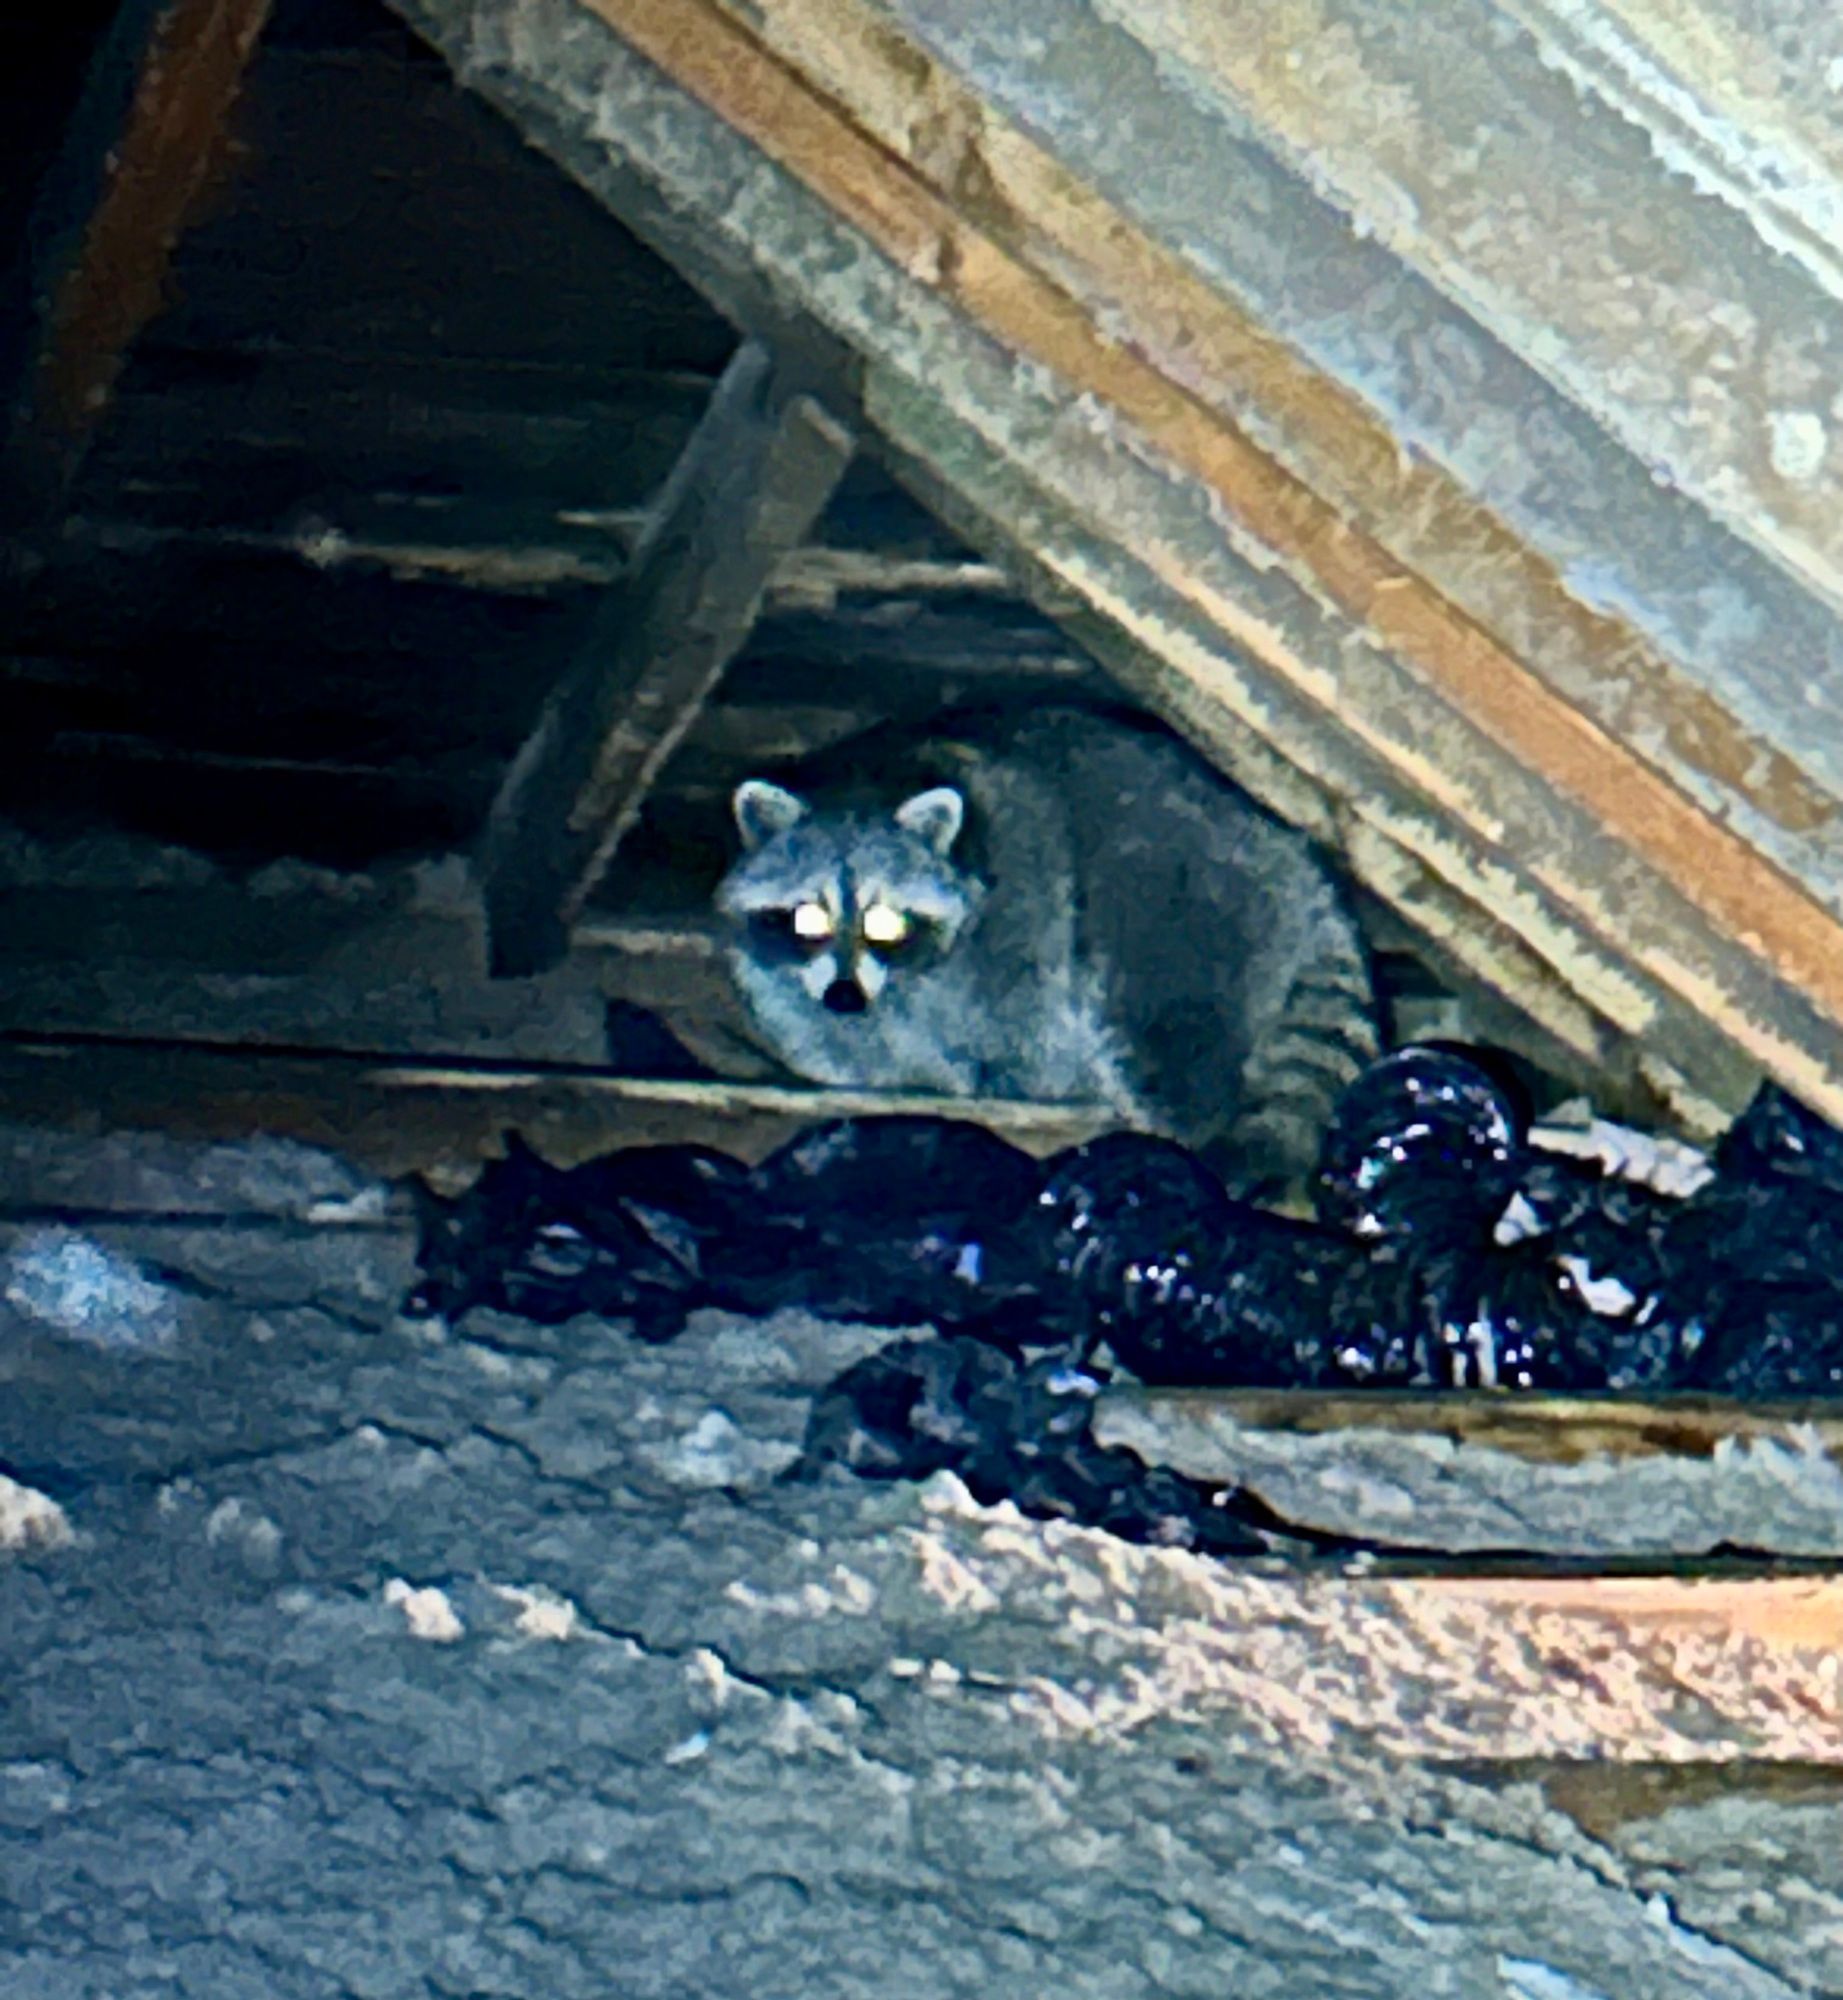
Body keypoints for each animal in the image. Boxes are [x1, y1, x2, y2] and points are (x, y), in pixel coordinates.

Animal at [713, 705, 1379, 1189]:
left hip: (1182, 912)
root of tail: (1297, 864)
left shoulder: (1017, 890)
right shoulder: (792, 992)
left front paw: (1003, 1075)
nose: (845, 996)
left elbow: (1027, 983)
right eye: (806, 917)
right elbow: (821, 1032)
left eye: (885, 922)